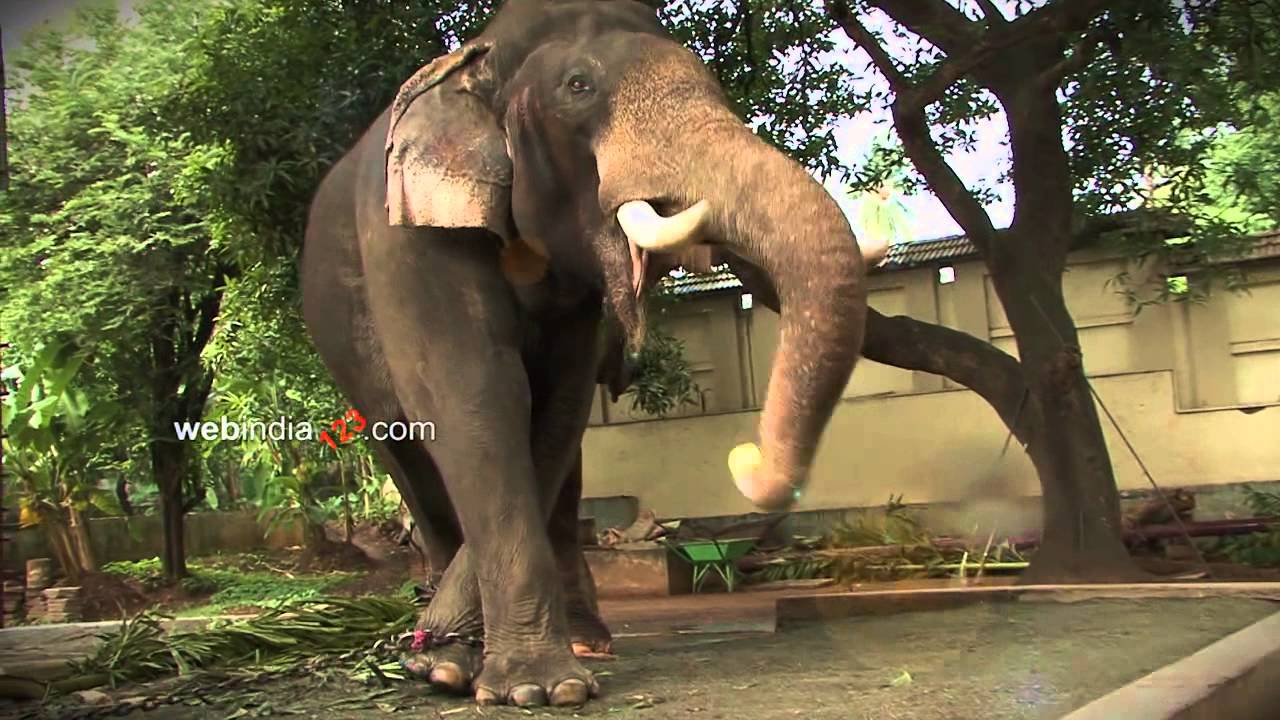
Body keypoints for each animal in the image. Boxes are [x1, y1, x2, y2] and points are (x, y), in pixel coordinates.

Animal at [299, 0, 877, 707]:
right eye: (578, 86)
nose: (744, 457)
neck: (481, 57)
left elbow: (554, 405)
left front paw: (515, 677)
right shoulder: (403, 231)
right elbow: (474, 393)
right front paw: (510, 683)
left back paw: (574, 643)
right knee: (405, 452)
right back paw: (449, 649)